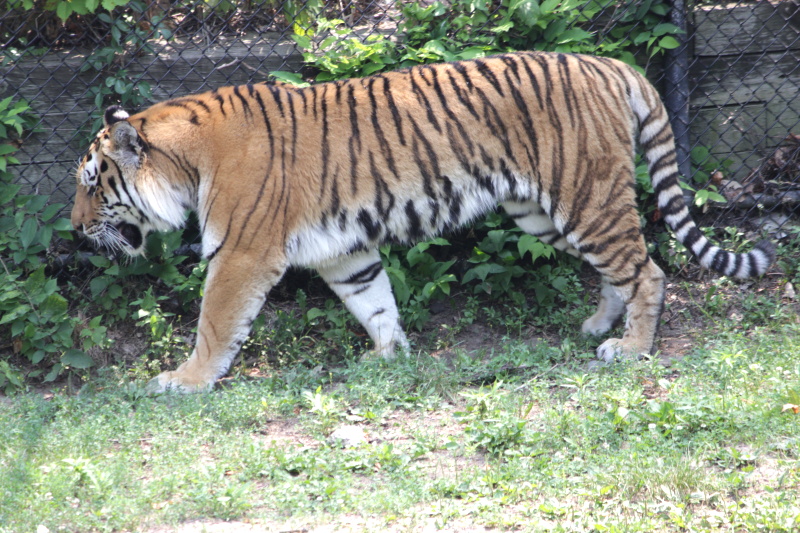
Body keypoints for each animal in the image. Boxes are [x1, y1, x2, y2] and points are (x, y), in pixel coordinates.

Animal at [70, 52, 776, 390]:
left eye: (91, 183)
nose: (74, 229)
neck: (186, 164)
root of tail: (611, 64)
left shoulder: (240, 254)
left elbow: (214, 326)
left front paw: (183, 381)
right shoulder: (345, 251)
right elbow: (375, 302)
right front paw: (389, 358)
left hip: (585, 196)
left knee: (648, 271)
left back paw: (631, 348)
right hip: (545, 214)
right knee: (618, 269)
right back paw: (600, 325)